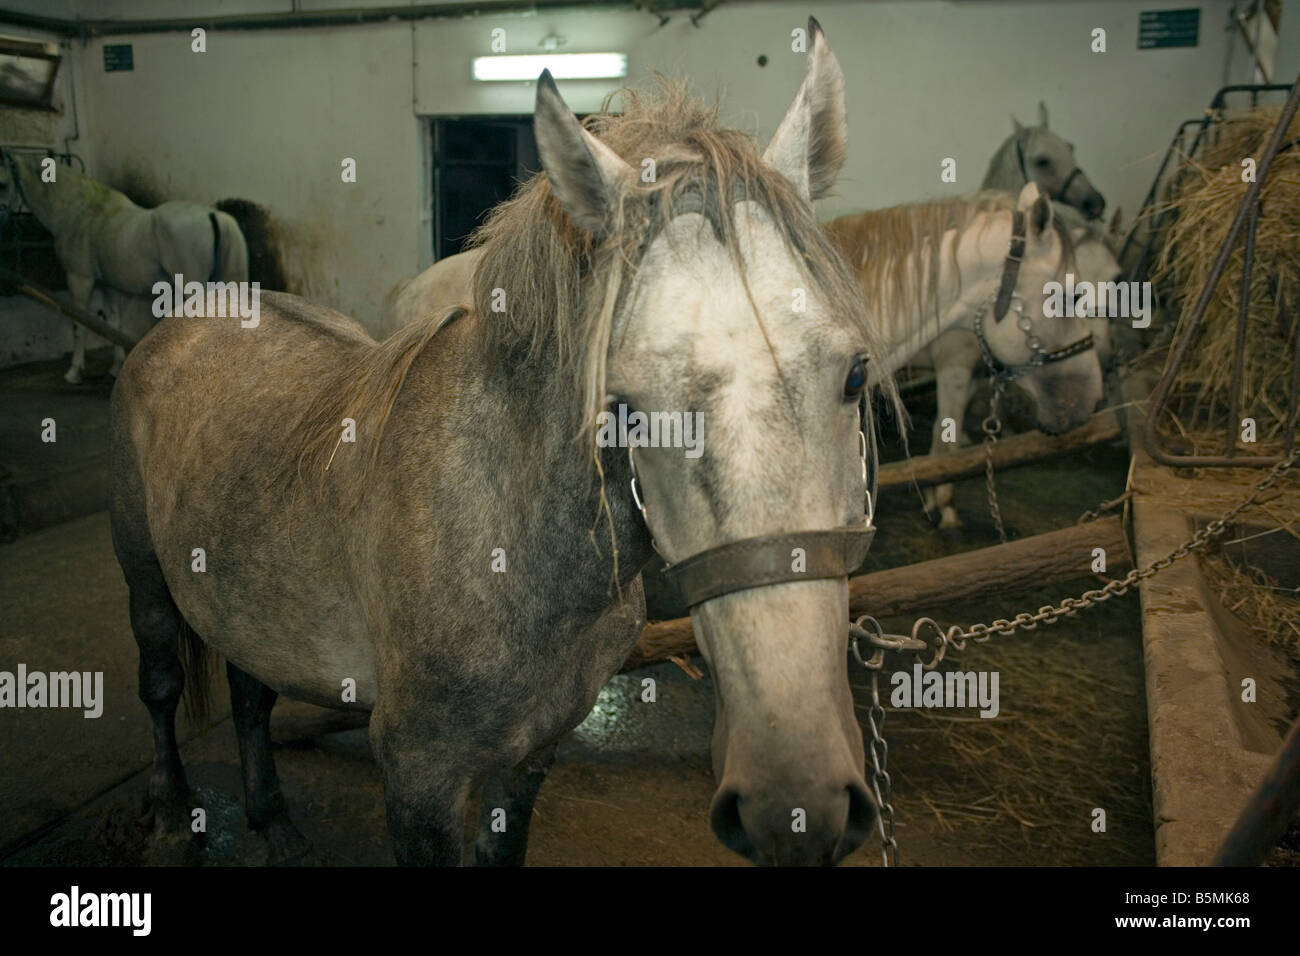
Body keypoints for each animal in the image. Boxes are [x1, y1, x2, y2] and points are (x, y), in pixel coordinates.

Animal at [0, 149, 248, 383]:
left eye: (3, 184)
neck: (79, 214)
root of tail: (213, 214)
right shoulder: (109, 285)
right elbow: (113, 322)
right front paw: (115, 368)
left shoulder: (79, 278)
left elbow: (80, 324)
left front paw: (74, 371)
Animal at [109, 19, 884, 867]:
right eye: (626, 407)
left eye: (855, 374)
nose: (796, 805)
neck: (508, 539)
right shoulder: (419, 776)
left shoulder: (532, 754)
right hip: (146, 579)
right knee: (161, 686)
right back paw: (173, 814)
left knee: (250, 692)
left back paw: (271, 821)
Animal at [825, 185, 1105, 530]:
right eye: (1073, 296)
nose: (1094, 394)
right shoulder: (953, 371)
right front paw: (945, 507)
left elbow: (945, 440)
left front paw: (937, 501)